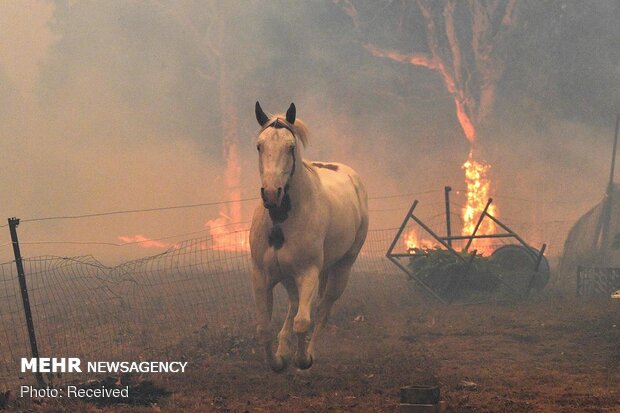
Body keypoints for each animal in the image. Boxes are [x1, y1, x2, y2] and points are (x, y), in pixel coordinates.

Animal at [249, 100, 368, 370]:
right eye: (260, 146)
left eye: (290, 147)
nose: (271, 194)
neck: (281, 222)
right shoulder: (262, 275)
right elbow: (263, 328)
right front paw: (278, 361)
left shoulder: (308, 273)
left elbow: (303, 322)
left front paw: (301, 359)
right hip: (290, 277)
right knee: (295, 305)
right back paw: (284, 349)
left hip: (341, 269)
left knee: (323, 309)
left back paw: (309, 352)